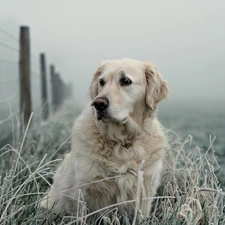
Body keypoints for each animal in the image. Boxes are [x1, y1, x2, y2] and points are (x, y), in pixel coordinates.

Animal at [40, 57, 168, 218]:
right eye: (102, 82)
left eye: (125, 80)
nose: (98, 103)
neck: (123, 142)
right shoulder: (87, 190)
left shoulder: (145, 187)